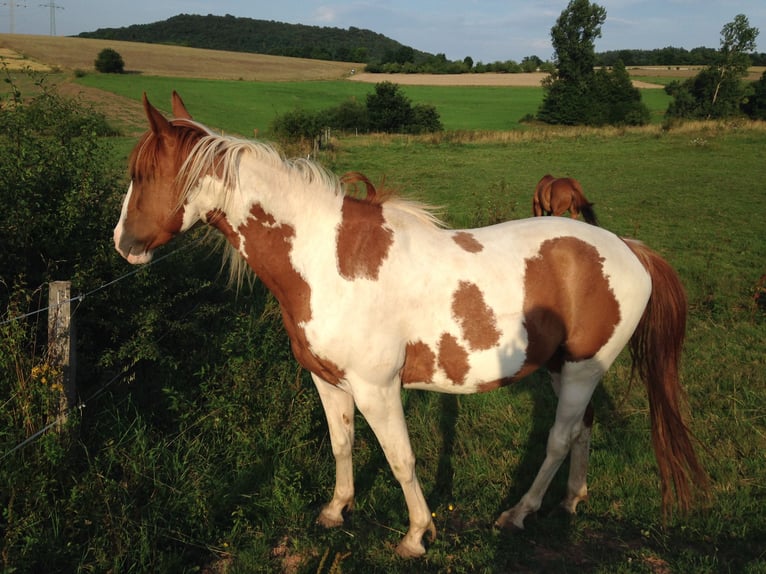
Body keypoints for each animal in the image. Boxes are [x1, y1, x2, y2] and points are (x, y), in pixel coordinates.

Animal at [112, 92, 708, 560]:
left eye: (143, 175)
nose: (123, 244)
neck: (326, 259)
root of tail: (628, 249)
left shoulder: (377, 389)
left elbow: (400, 459)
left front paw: (417, 535)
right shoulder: (328, 381)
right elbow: (342, 444)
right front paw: (336, 510)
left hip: (583, 369)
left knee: (560, 439)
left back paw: (519, 514)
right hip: (567, 367)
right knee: (582, 430)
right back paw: (570, 502)